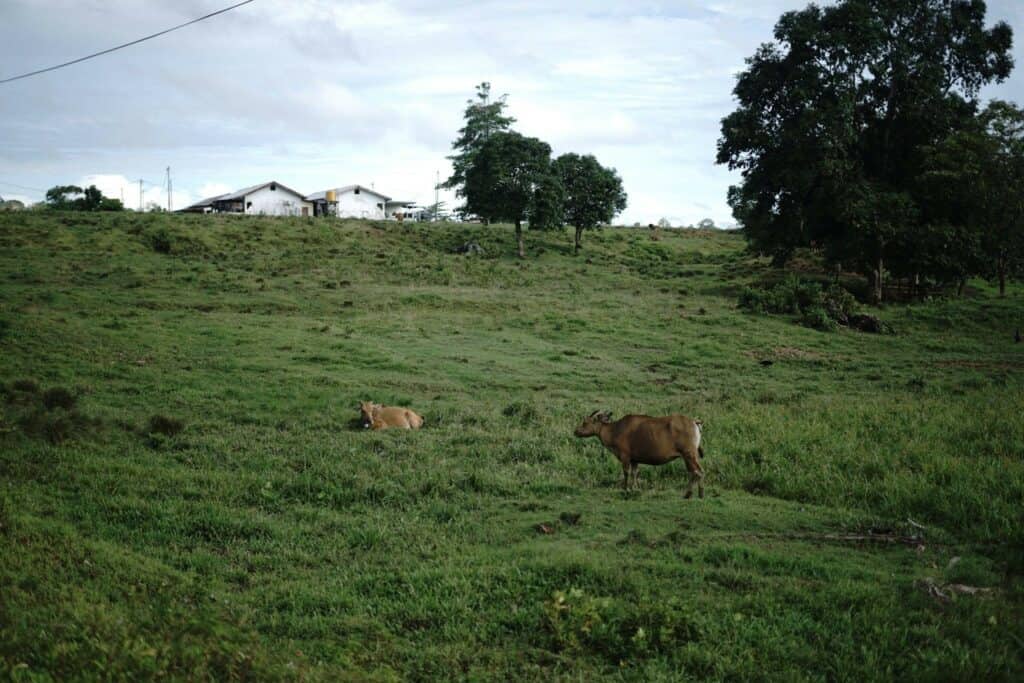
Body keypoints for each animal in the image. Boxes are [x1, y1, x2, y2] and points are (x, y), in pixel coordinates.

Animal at [573, 409, 708, 499]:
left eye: (585, 422)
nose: (576, 431)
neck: (615, 430)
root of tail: (694, 421)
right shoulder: (635, 460)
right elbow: (635, 473)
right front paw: (635, 488)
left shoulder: (625, 457)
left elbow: (626, 473)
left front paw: (626, 488)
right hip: (689, 456)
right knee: (694, 472)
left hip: (689, 454)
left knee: (698, 471)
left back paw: (694, 494)